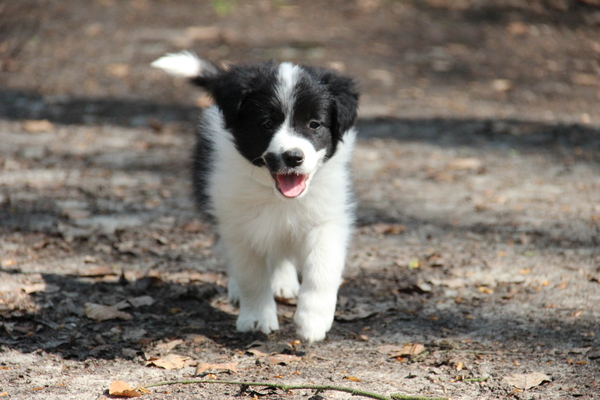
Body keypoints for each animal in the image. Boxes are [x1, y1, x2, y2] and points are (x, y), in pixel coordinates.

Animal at [152, 51, 358, 342]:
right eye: (266, 124)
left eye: (314, 124)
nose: (293, 157)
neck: (275, 194)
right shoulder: (237, 222)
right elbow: (251, 275)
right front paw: (257, 318)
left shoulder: (327, 215)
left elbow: (323, 266)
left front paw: (313, 321)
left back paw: (284, 283)